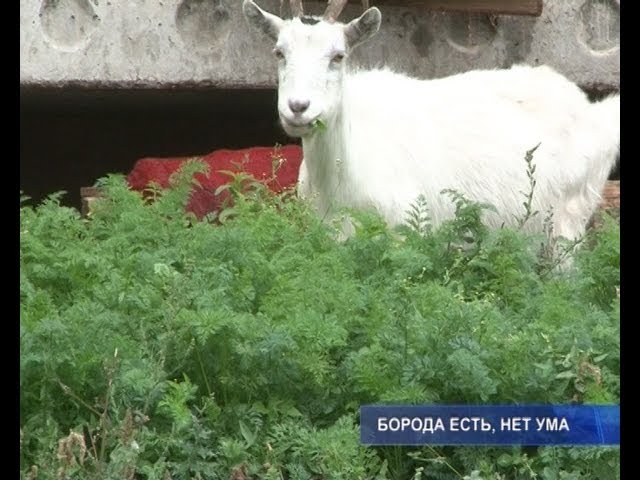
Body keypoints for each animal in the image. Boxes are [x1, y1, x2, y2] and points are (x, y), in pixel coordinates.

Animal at [243, 0, 620, 241]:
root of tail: (590, 109)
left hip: (567, 223)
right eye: (279, 52)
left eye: (338, 56)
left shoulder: (407, 232)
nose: (298, 107)